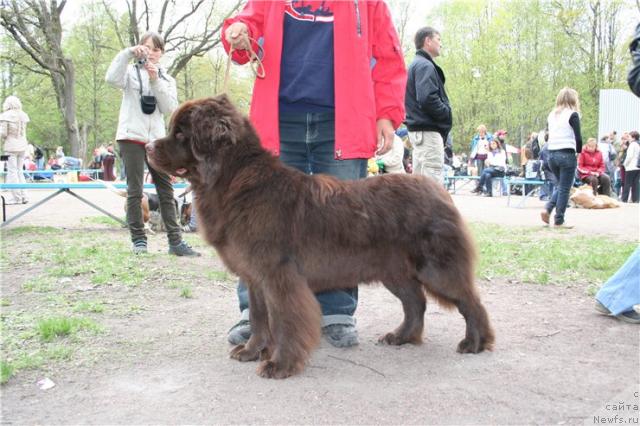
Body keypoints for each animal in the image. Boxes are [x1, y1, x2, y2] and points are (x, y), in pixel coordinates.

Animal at [146, 96, 496, 380]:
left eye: (181, 133)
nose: (148, 147)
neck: (233, 181)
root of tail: (439, 189)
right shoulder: (255, 276)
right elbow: (258, 318)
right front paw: (251, 351)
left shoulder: (279, 275)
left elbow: (284, 321)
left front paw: (280, 365)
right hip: (393, 270)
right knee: (416, 303)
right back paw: (401, 337)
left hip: (435, 267)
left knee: (469, 300)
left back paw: (475, 342)